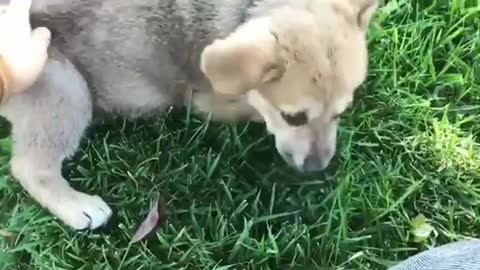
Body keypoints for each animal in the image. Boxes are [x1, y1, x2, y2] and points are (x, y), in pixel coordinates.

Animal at [0, 0, 376, 230]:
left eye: (343, 110)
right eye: (293, 117)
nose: (317, 169)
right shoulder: (212, 101)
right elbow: (252, 108)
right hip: (65, 86)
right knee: (29, 167)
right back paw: (77, 206)